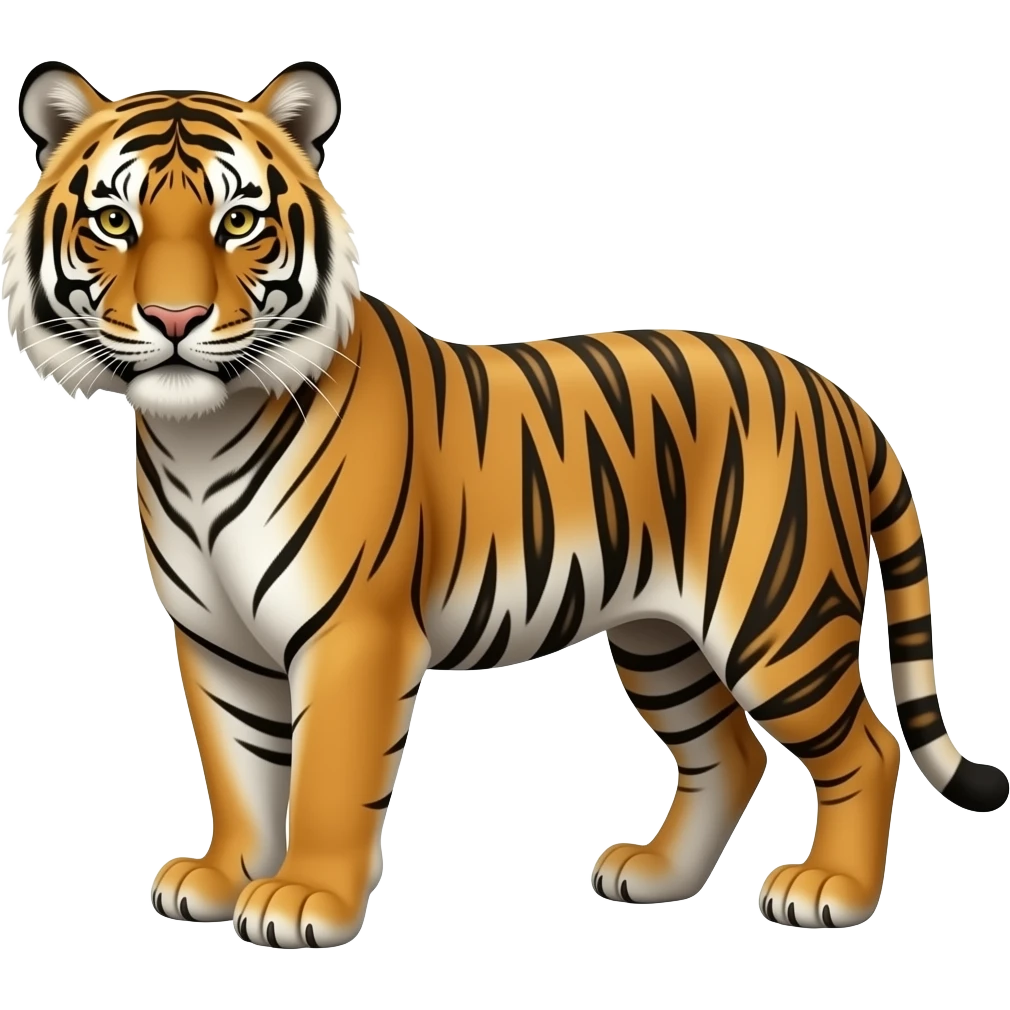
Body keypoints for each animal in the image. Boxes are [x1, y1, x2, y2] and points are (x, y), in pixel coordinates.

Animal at [4, 59, 1006, 949]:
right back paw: (655, 875)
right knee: (729, 752)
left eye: (239, 220)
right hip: (662, 638)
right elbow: (240, 769)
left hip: (777, 618)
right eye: (114, 221)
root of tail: (837, 396)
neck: (197, 436)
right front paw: (223, 878)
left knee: (868, 749)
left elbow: (326, 777)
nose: (175, 321)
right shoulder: (216, 640)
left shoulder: (353, 632)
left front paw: (303, 901)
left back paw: (830, 891)